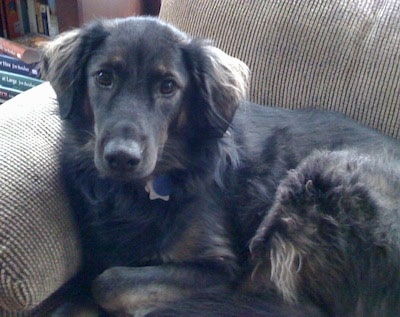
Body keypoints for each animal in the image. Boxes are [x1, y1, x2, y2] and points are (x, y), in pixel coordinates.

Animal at [42, 17, 400, 316]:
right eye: (104, 77)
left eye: (168, 86)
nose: (121, 157)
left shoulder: (224, 271)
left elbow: (109, 281)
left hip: (319, 175)